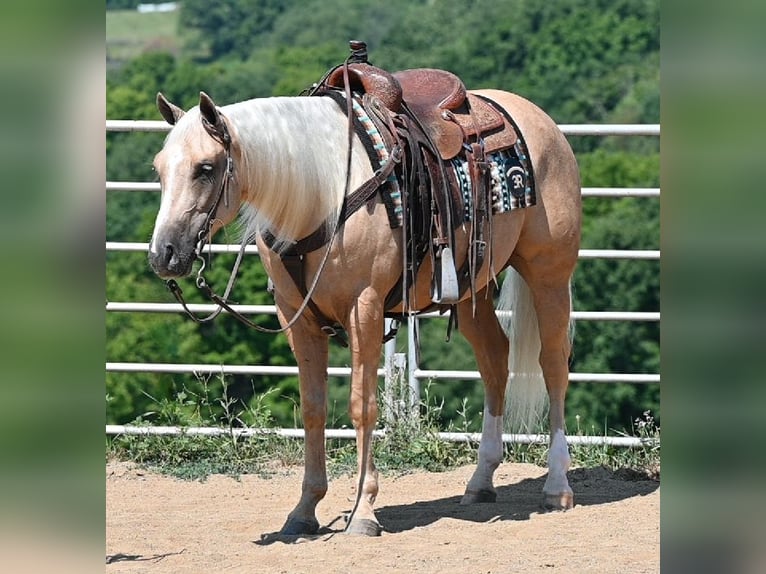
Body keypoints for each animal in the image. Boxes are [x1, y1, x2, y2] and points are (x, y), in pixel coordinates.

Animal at [147, 57, 581, 537]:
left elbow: (362, 406)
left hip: (549, 273)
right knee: (495, 359)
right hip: (473, 285)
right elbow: (314, 409)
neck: (320, 194)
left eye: (206, 168)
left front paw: (363, 511)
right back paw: (481, 481)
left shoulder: (366, 309)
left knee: (553, 364)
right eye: (158, 169)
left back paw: (557, 486)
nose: (163, 254)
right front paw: (304, 510)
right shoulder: (296, 317)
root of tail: (535, 117)